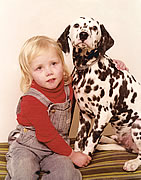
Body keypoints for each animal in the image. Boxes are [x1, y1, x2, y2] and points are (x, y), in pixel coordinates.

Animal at [57, 16, 141, 172]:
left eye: (94, 28)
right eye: (76, 25)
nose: (83, 34)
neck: (86, 69)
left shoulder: (103, 115)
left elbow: (90, 140)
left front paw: (84, 156)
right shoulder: (84, 115)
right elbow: (80, 139)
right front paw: (78, 153)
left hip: (137, 125)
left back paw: (132, 163)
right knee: (121, 145)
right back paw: (103, 142)